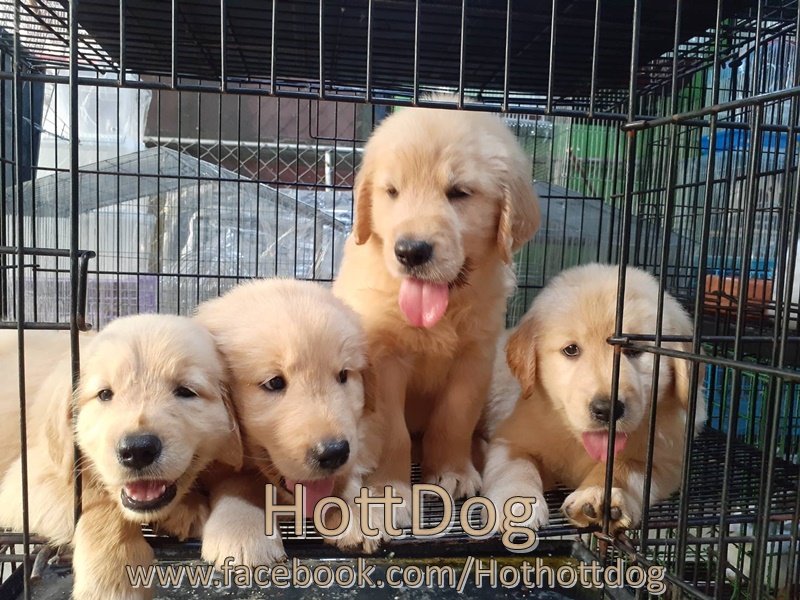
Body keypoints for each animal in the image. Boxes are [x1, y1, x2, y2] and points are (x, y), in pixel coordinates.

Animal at [0, 316, 242, 600]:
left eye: (185, 391)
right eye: (105, 394)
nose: (137, 451)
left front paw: (187, 507)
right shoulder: (28, 479)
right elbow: (99, 499)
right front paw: (113, 580)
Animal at [195, 278, 382, 567]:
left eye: (343, 375)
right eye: (274, 383)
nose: (334, 453)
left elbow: (345, 478)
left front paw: (353, 507)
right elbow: (238, 482)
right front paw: (242, 529)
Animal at [332, 96, 541, 511]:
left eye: (458, 192)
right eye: (392, 191)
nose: (410, 251)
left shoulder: (475, 357)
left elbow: (454, 418)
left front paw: (451, 472)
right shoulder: (384, 359)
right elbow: (391, 430)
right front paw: (387, 487)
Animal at [482, 264, 707, 532]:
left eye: (634, 350)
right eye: (571, 350)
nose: (607, 409)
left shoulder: (664, 458)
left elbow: (624, 467)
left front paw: (598, 496)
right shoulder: (510, 436)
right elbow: (515, 466)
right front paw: (516, 502)